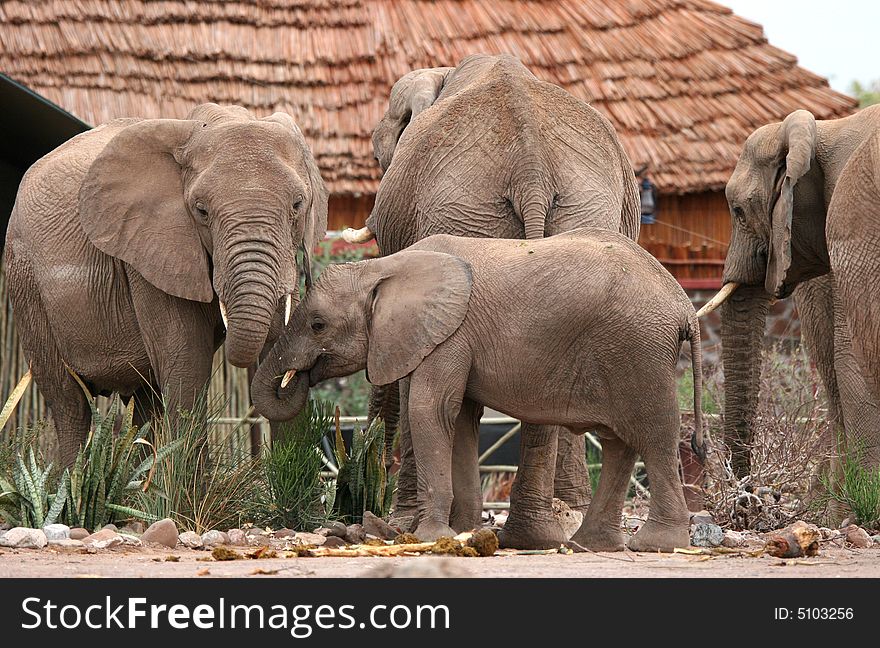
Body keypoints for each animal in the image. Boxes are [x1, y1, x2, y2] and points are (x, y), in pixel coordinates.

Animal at [4, 102, 326, 466]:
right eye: (201, 211)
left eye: (298, 205)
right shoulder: (149, 251)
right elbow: (187, 360)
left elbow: (278, 342)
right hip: (25, 279)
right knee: (70, 403)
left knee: (145, 399)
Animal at [251, 228, 704, 552]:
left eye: (318, 325)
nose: (295, 378)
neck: (381, 267)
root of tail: (685, 307)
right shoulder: (449, 338)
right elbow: (463, 419)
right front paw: (463, 532)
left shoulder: (449, 335)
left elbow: (431, 410)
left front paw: (429, 536)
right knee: (618, 442)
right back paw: (590, 545)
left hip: (639, 349)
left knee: (654, 436)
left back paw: (656, 545)